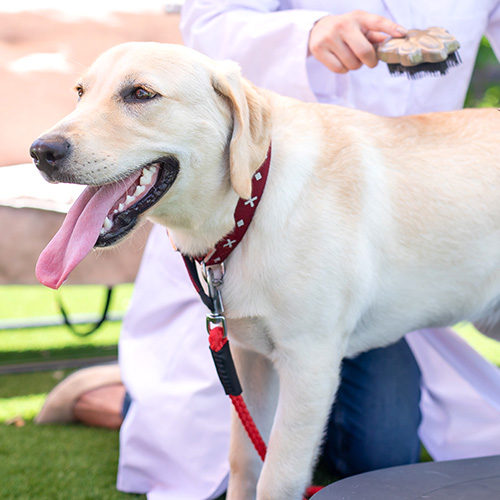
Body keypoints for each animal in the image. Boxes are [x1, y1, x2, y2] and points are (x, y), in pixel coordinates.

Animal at [29, 43, 500, 500]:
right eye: (80, 92)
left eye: (141, 94)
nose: (41, 152)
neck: (252, 199)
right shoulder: (249, 356)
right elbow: (244, 461)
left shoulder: (309, 362)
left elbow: (276, 477)